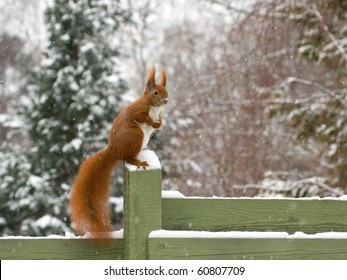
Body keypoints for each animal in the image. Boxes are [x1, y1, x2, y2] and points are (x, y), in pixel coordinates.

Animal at [69, 66, 169, 238]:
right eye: (156, 93)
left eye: (166, 90)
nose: (166, 100)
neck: (154, 109)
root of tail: (114, 150)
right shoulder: (138, 109)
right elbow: (140, 116)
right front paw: (150, 121)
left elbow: (158, 123)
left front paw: (158, 123)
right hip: (135, 135)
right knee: (128, 157)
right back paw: (139, 162)